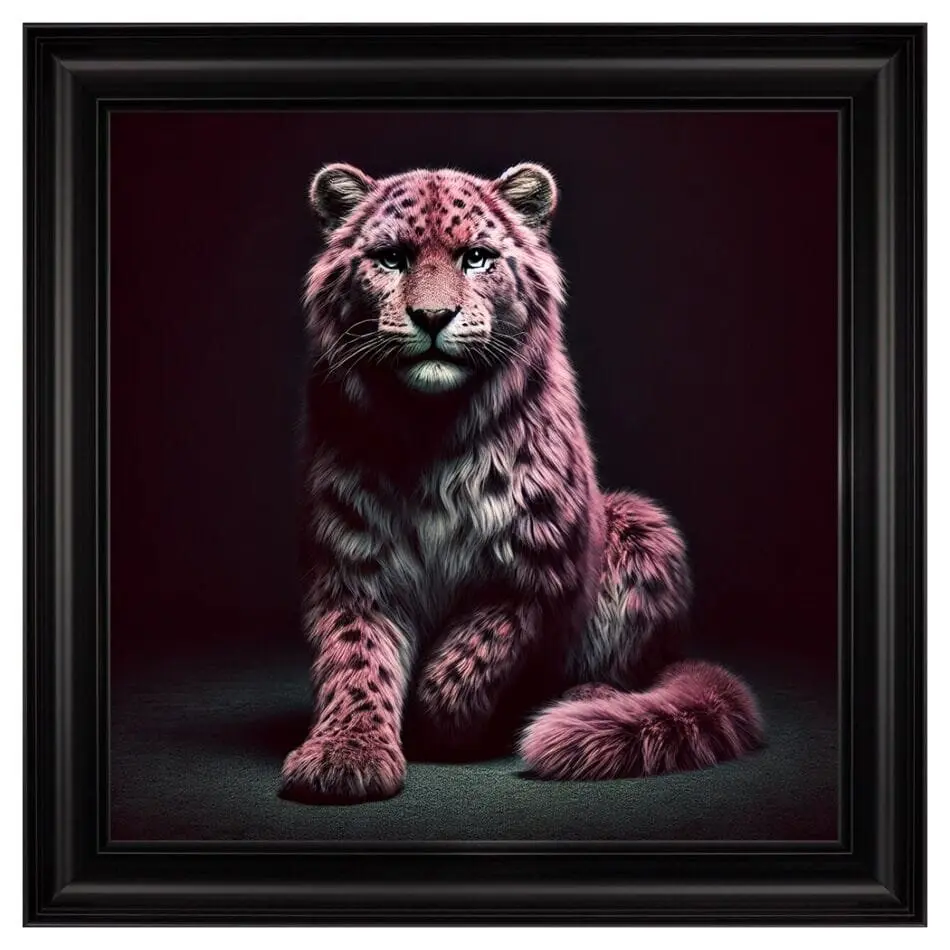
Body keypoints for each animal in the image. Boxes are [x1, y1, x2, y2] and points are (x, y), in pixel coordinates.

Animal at [279, 161, 764, 804]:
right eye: (391, 258)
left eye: (476, 258)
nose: (432, 318)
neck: (430, 432)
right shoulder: (351, 565)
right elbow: (355, 662)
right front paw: (343, 755)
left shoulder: (538, 561)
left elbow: (472, 653)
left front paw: (445, 726)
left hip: (642, 523)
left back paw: (585, 703)